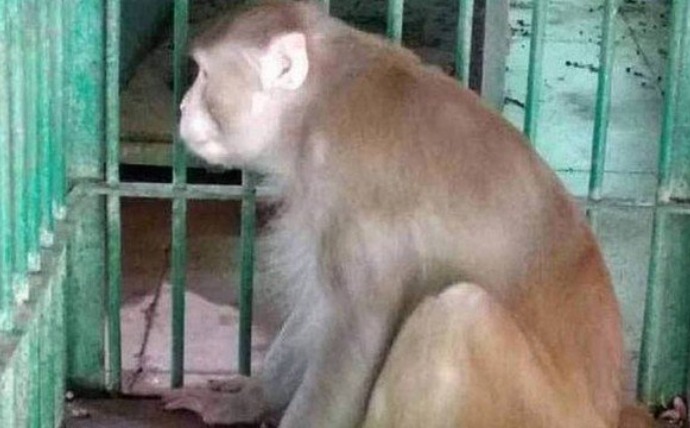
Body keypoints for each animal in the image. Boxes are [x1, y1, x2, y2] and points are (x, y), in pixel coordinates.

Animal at [162, 1, 654, 427]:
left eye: (203, 75)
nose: (183, 106)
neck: (319, 99)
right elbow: (321, 307)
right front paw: (243, 401)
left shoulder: (349, 186)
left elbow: (354, 330)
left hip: (536, 413)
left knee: (458, 314)